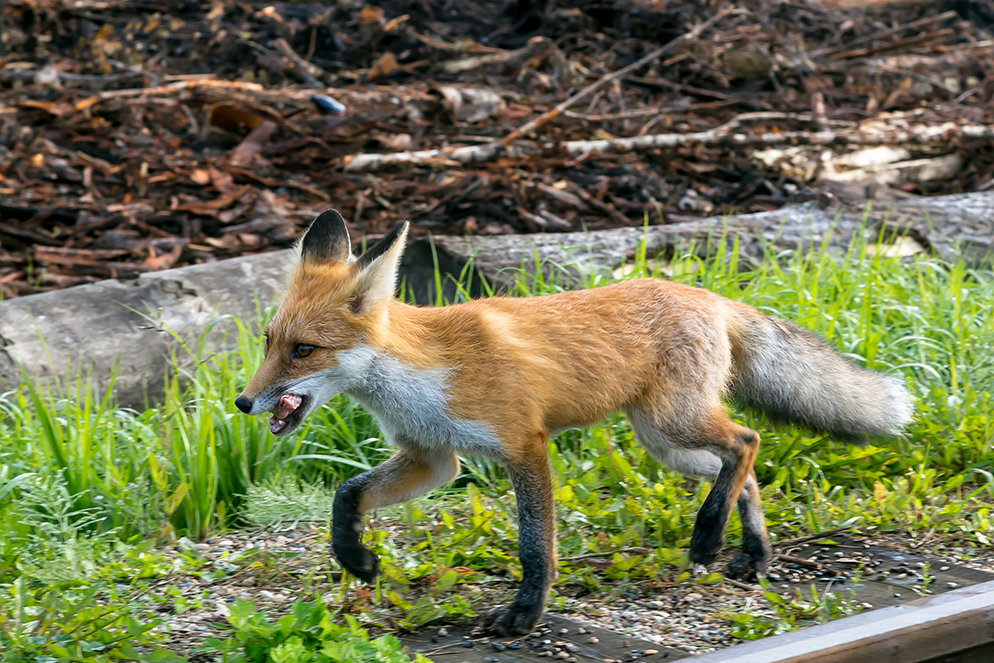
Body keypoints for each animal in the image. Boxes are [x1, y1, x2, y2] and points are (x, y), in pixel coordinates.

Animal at [234, 210, 916, 636]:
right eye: (268, 341)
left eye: (303, 351)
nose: (243, 403)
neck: (422, 374)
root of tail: (708, 295)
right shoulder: (434, 458)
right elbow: (347, 493)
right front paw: (356, 557)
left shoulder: (522, 446)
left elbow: (536, 546)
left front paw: (525, 613)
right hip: (664, 442)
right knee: (740, 467)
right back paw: (751, 551)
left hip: (674, 423)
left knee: (747, 442)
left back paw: (707, 537)